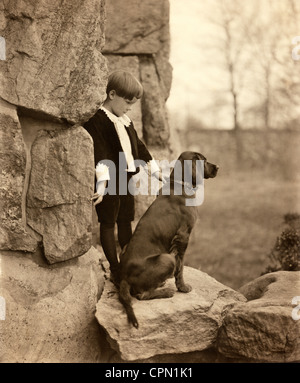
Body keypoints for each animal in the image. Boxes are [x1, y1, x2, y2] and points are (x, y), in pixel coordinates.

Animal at [118, 152, 219, 328]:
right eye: (204, 161)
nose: (218, 167)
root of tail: (124, 276)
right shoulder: (183, 236)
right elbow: (180, 266)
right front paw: (183, 287)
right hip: (166, 259)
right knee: (141, 295)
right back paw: (166, 291)